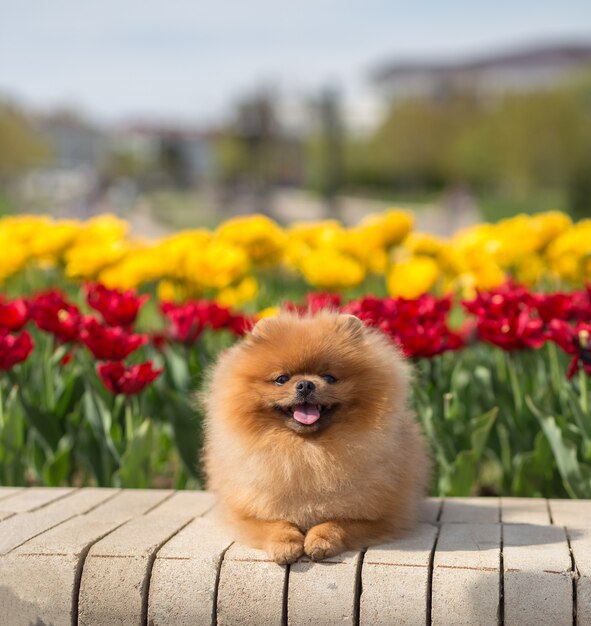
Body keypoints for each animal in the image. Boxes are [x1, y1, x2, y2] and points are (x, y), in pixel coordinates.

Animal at [204, 310, 430, 564]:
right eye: (282, 379)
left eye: (329, 377)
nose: (305, 384)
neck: (308, 452)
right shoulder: (245, 513)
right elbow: (273, 524)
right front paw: (285, 543)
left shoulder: (381, 517)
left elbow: (339, 522)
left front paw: (321, 539)